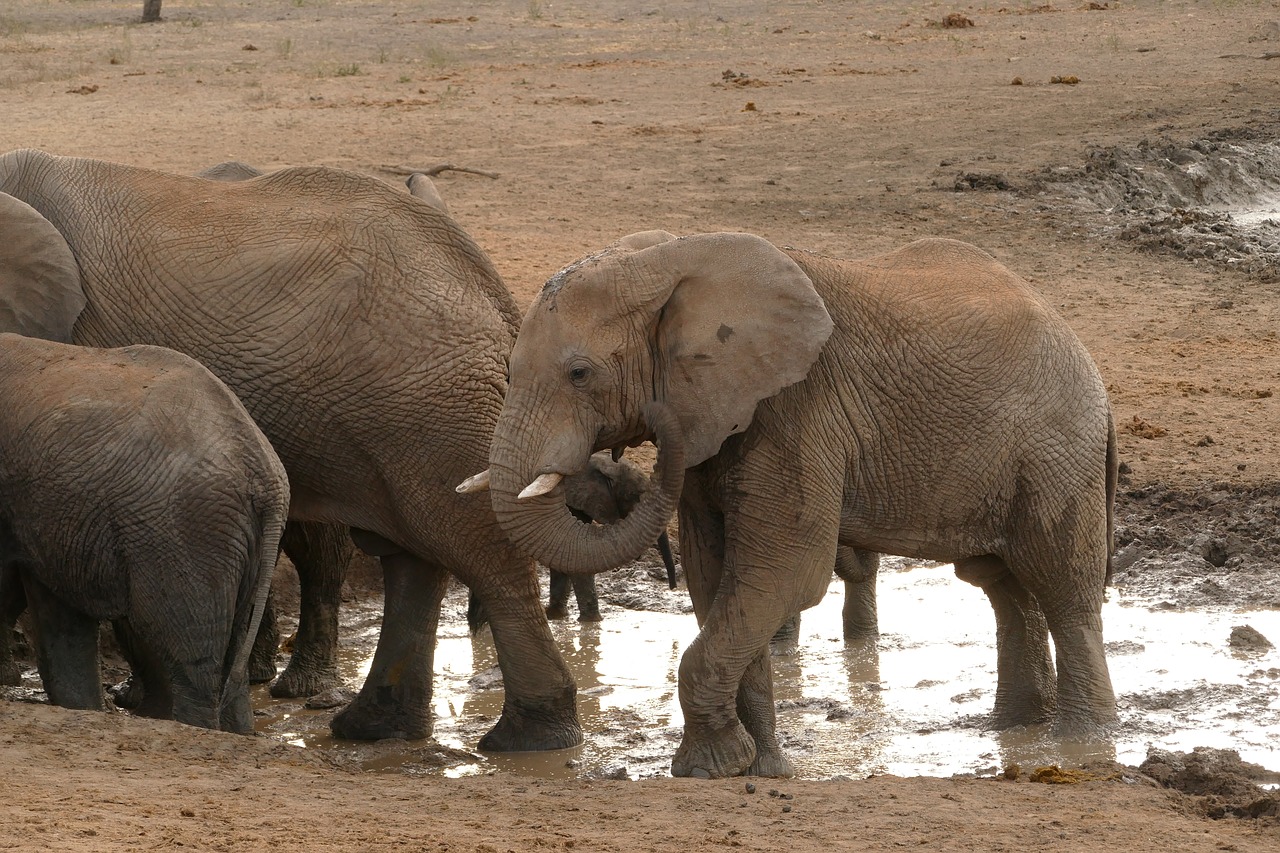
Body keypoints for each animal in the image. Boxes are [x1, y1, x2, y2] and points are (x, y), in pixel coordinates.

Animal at [463, 229, 1121, 773]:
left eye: (579, 373)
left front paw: (709, 768)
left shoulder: (797, 409)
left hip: (1058, 448)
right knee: (1003, 585)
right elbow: (720, 579)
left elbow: (782, 573)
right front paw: (760, 768)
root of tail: (1081, 350)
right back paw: (1013, 730)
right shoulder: (719, 420)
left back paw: (1079, 743)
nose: (652, 420)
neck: (672, 256)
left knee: (1060, 582)